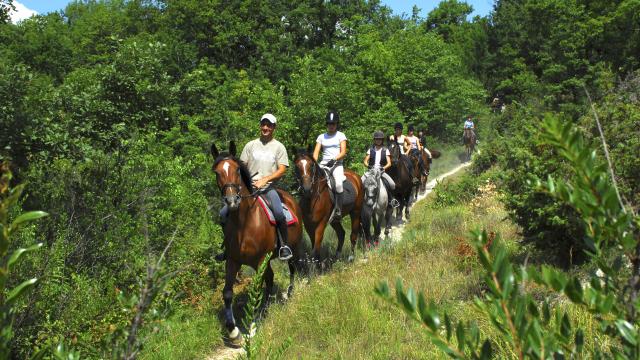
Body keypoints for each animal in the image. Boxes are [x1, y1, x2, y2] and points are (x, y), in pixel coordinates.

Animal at [208, 141, 302, 346]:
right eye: (217, 172)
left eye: (236, 169)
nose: (232, 201)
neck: (244, 223)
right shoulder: (233, 261)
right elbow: (227, 293)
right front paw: (234, 333)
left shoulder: (260, 260)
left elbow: (256, 290)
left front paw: (252, 326)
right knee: (270, 278)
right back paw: (266, 309)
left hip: (293, 249)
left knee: (292, 268)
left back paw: (289, 293)